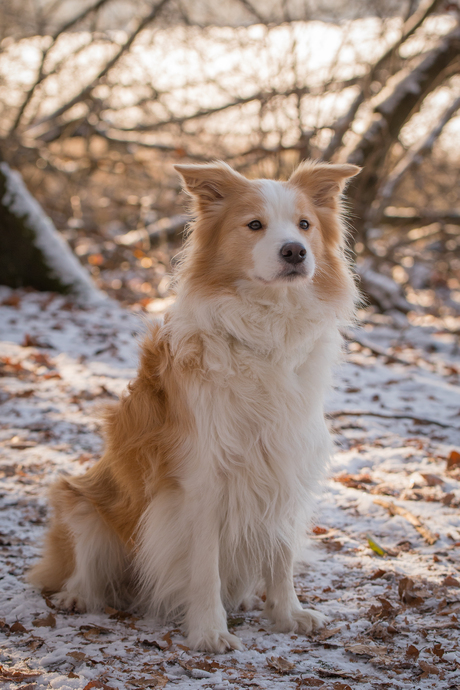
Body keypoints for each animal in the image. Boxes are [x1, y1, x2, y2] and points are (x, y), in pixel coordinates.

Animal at [27, 160, 360, 652]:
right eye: (254, 225)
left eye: (305, 225)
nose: (295, 252)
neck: (266, 334)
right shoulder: (202, 481)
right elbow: (204, 567)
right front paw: (208, 631)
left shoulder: (285, 464)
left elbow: (281, 554)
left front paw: (286, 614)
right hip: (81, 503)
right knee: (82, 568)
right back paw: (77, 596)